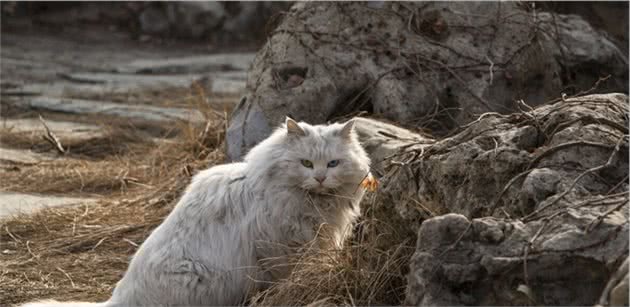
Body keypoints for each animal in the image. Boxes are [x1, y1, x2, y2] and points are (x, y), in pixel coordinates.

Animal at [22, 118, 372, 307]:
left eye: (333, 164)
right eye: (306, 164)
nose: (321, 178)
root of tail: (119, 298)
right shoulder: (279, 251)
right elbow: (284, 282)